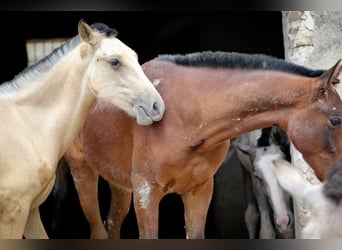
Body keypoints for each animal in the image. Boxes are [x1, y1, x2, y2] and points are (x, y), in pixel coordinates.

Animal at [0, 19, 164, 238]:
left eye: (135, 57)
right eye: (115, 62)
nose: (157, 105)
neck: (26, 124)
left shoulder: (30, 212)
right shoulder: (13, 215)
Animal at [62, 50, 342, 238]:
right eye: (336, 119)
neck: (188, 116)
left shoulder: (199, 191)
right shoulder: (146, 193)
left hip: (119, 184)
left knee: (112, 224)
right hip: (83, 172)